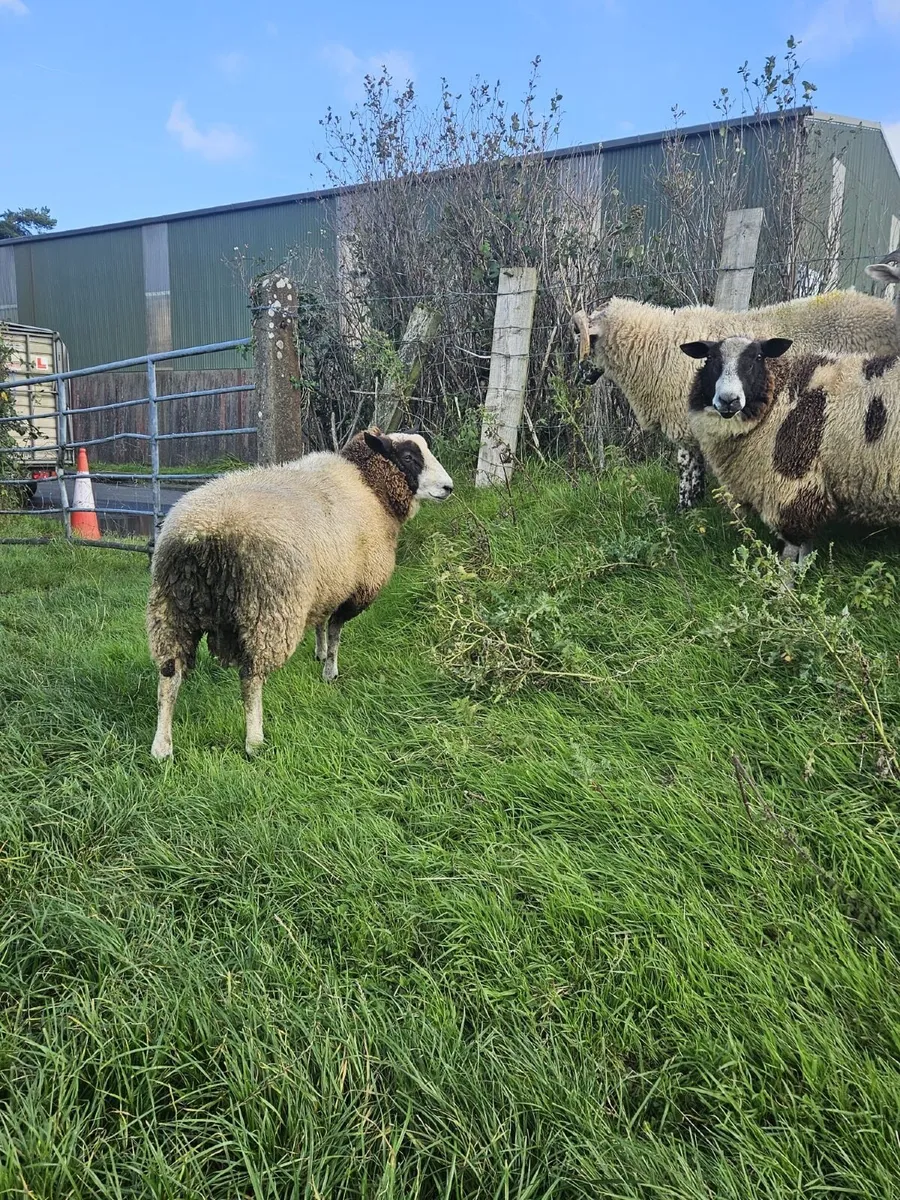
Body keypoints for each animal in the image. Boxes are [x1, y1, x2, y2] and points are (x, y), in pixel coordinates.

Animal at [146, 428, 454, 759]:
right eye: (409, 457)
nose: (449, 487)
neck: (371, 488)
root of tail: (203, 536)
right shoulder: (358, 587)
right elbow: (335, 630)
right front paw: (330, 670)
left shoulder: (327, 583)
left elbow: (321, 622)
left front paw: (320, 654)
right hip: (267, 611)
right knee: (251, 677)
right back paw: (254, 740)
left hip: (171, 607)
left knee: (169, 674)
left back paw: (162, 747)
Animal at [572, 288, 900, 510]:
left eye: (586, 339)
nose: (579, 377)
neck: (656, 345)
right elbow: (696, 469)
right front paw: (696, 503)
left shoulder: (685, 423)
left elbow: (686, 468)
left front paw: (684, 508)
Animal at [679, 333, 900, 565]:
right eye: (710, 358)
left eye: (759, 357)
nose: (728, 400)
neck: (779, 398)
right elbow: (806, 547)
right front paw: (806, 570)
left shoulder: (793, 485)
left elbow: (793, 548)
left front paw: (787, 575)